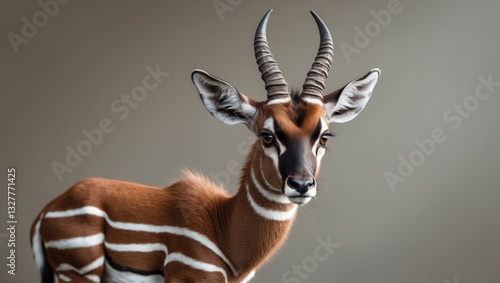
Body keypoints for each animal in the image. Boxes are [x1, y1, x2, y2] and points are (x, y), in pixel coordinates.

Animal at [30, 8, 378, 283]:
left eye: (323, 135)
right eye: (267, 135)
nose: (302, 184)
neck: (223, 229)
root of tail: (48, 210)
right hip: (79, 274)